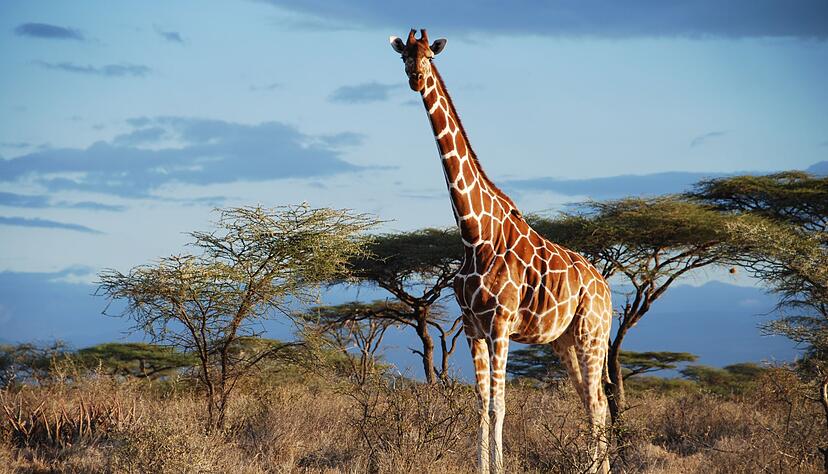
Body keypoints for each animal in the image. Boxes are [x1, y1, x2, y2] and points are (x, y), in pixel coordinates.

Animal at [389, 29, 613, 474]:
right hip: (564, 341)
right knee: (591, 401)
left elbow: (500, 406)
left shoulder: (500, 324)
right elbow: (480, 405)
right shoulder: (472, 326)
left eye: (429, 57)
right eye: (404, 56)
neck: (475, 234)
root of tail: (608, 291)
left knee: (598, 404)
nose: (415, 78)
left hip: (591, 333)